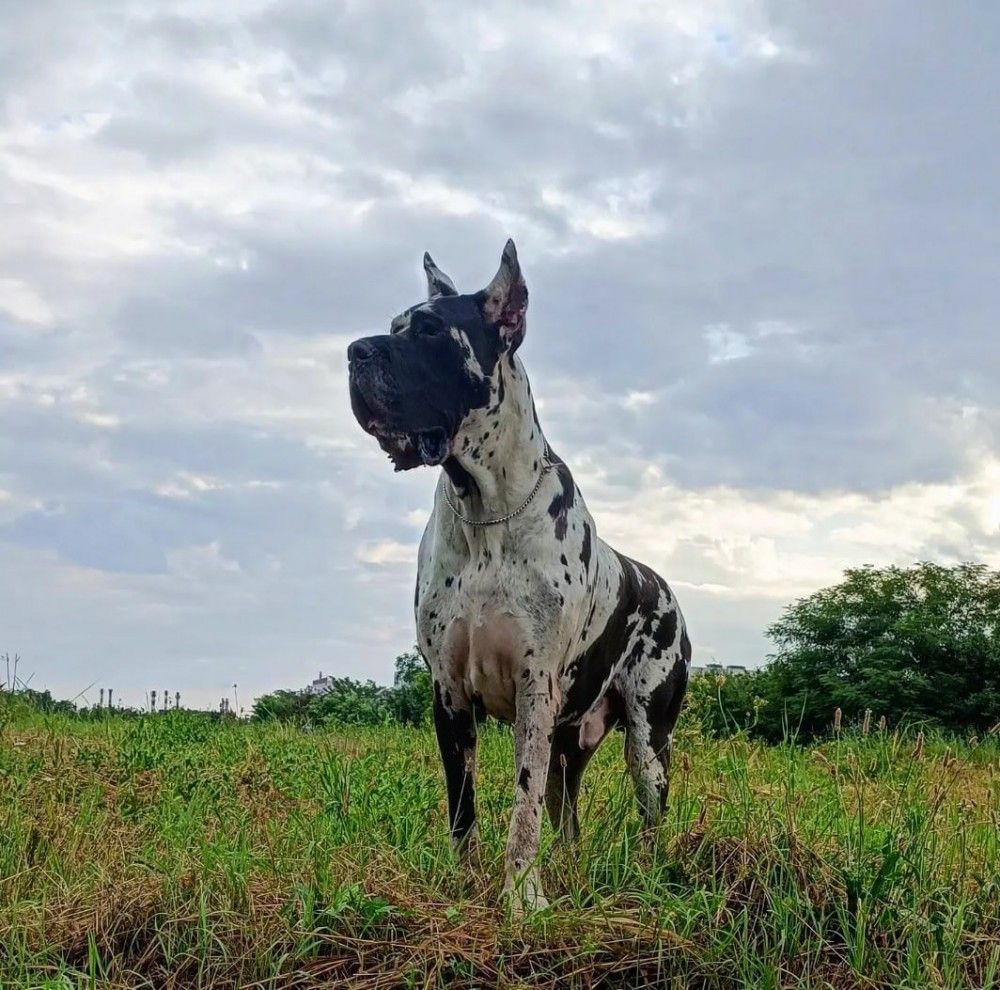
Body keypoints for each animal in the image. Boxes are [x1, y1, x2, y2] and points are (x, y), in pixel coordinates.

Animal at [348, 241, 689, 910]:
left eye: (431, 331)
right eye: (394, 326)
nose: (354, 351)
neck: (485, 507)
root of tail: (663, 587)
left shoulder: (534, 690)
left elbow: (521, 807)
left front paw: (523, 899)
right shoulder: (449, 694)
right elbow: (463, 806)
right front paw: (465, 886)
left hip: (647, 739)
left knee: (649, 815)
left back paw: (649, 875)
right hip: (570, 745)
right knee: (568, 817)